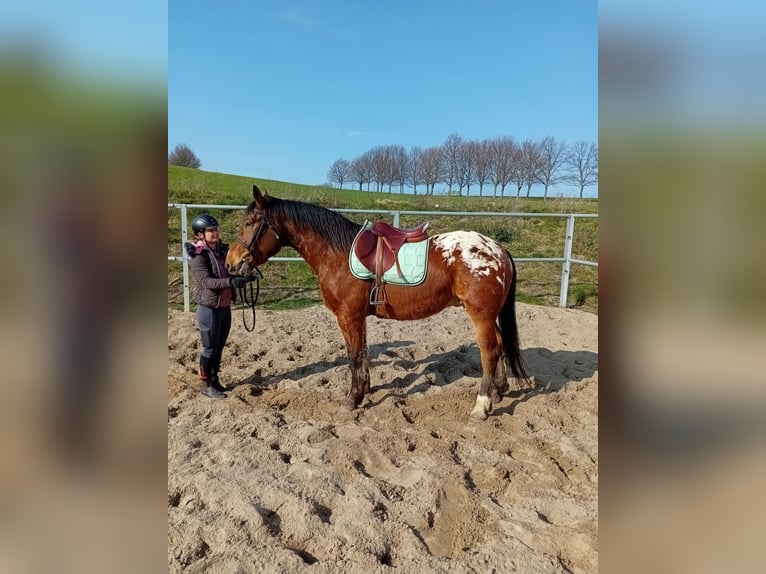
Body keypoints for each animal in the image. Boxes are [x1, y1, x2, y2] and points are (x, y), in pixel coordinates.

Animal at [225, 187, 532, 420]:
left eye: (251, 222)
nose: (230, 263)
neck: (337, 253)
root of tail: (498, 249)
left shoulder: (348, 316)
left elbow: (353, 356)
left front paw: (351, 400)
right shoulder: (357, 317)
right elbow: (363, 354)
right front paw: (364, 391)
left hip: (481, 315)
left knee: (489, 352)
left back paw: (481, 406)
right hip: (489, 315)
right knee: (501, 345)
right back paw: (499, 391)